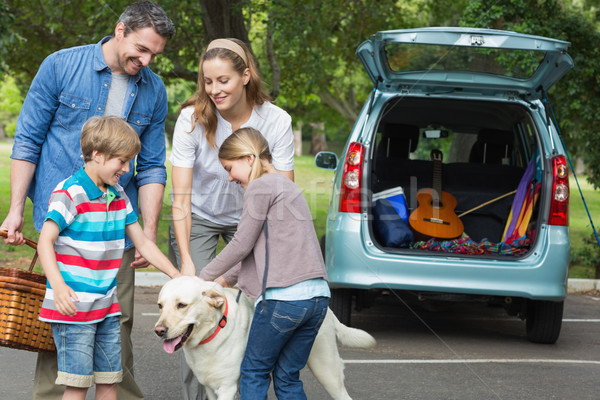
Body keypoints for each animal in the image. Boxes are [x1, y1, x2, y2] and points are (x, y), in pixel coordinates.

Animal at [155, 276, 376, 398]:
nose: (159, 330)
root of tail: (328, 309)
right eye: (160, 305)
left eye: (181, 305)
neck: (213, 331)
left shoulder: (227, 387)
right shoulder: (210, 388)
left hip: (326, 369)